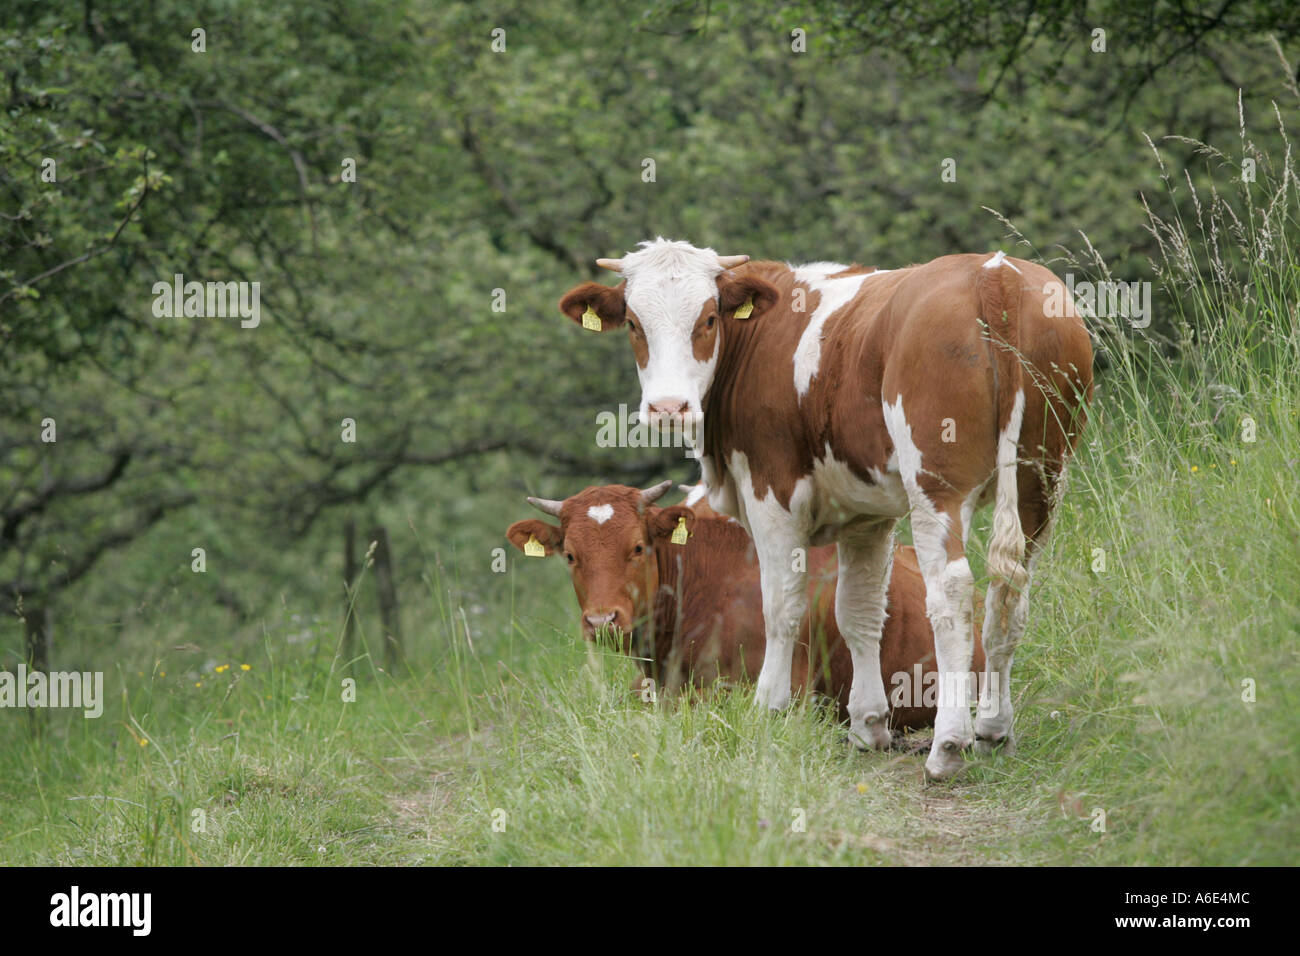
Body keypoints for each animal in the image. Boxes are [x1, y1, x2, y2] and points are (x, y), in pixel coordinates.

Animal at [561, 239, 1097, 780]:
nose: (668, 408)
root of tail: (993, 271)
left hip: (938, 484)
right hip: (1040, 481)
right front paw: (869, 725)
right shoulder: (867, 514)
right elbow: (858, 610)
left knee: (953, 594)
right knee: (1010, 594)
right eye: (634, 323)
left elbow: (781, 606)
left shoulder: (772, 492)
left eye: (709, 318)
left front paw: (768, 708)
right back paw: (992, 730)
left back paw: (948, 743)